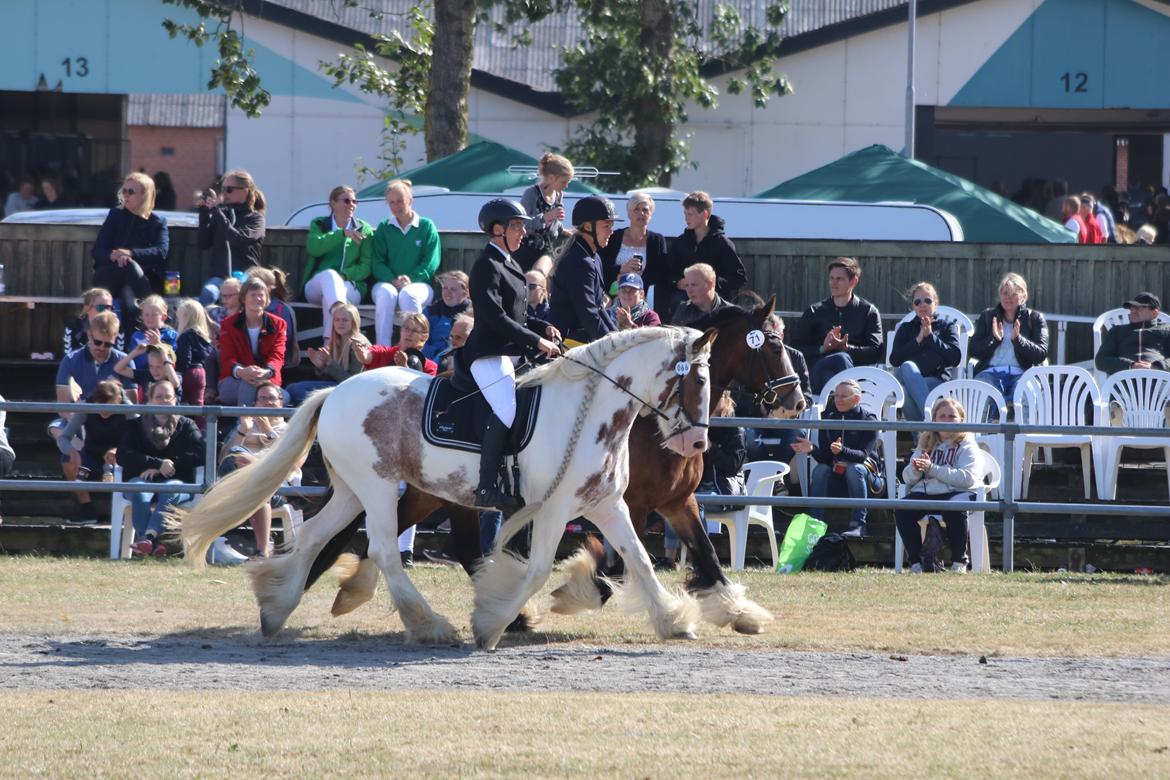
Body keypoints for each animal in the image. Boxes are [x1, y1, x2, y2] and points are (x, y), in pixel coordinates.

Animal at [175, 327, 711, 650]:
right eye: (695, 382)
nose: (697, 442)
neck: (589, 410)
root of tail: (336, 391)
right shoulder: (555, 507)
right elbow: (538, 569)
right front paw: (491, 624)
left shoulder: (605, 504)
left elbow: (639, 560)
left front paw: (675, 619)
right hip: (377, 487)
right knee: (384, 550)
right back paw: (429, 624)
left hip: (351, 489)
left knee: (313, 538)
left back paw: (274, 609)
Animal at [301, 299, 804, 636]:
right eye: (773, 343)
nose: (796, 400)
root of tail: (339, 391)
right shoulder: (625, 503)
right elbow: (615, 565)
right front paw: (575, 593)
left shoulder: (670, 502)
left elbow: (696, 556)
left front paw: (735, 613)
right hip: (402, 487)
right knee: (398, 540)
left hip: (432, 491)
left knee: (418, 541)